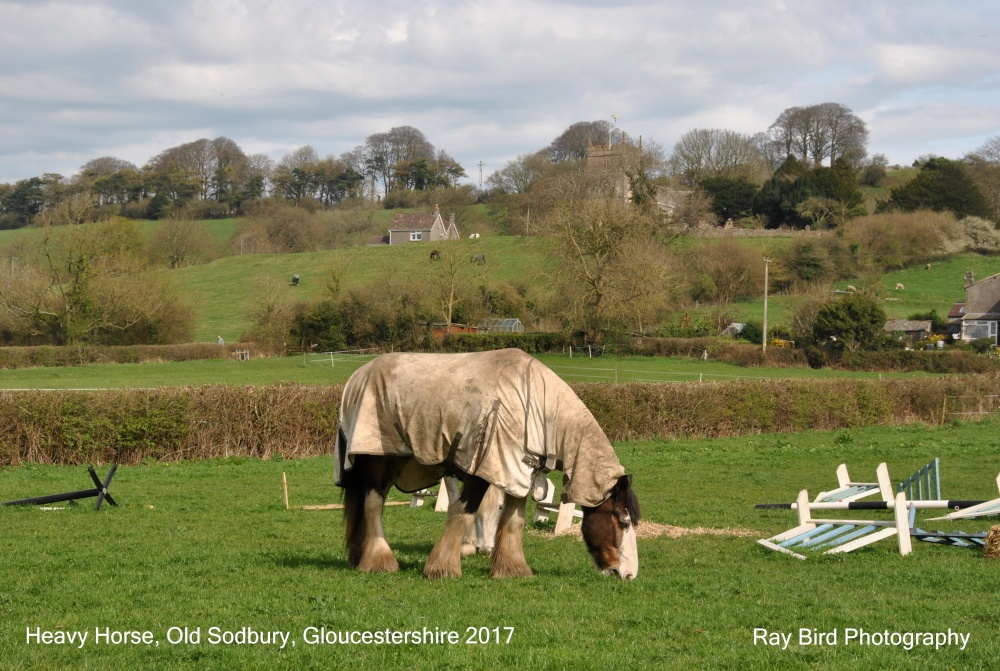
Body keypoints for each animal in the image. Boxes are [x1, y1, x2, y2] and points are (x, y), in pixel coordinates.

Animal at [335, 349, 640, 580]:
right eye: (624, 522)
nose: (629, 574)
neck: (535, 405)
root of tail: (356, 378)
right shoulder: (483, 467)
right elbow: (463, 510)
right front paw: (443, 567)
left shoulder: (518, 471)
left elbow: (513, 520)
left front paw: (512, 568)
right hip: (375, 460)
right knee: (373, 505)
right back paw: (380, 561)